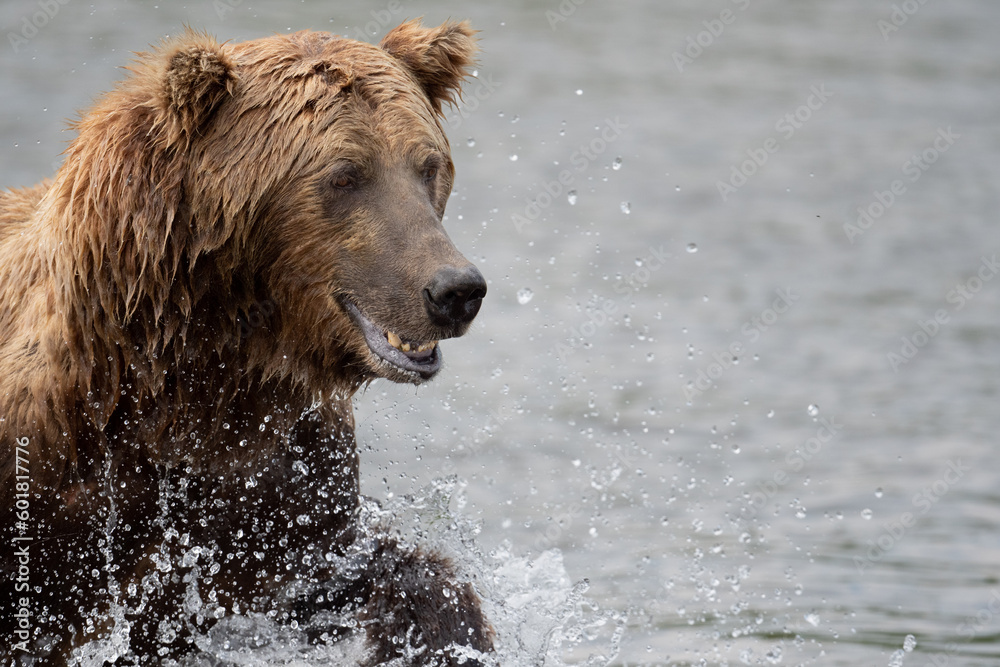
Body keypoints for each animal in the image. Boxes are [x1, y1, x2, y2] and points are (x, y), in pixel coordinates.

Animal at [1, 18, 494, 664]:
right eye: (345, 174)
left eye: (427, 165)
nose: (455, 289)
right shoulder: (56, 480)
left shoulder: (272, 484)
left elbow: (325, 578)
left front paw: (440, 634)